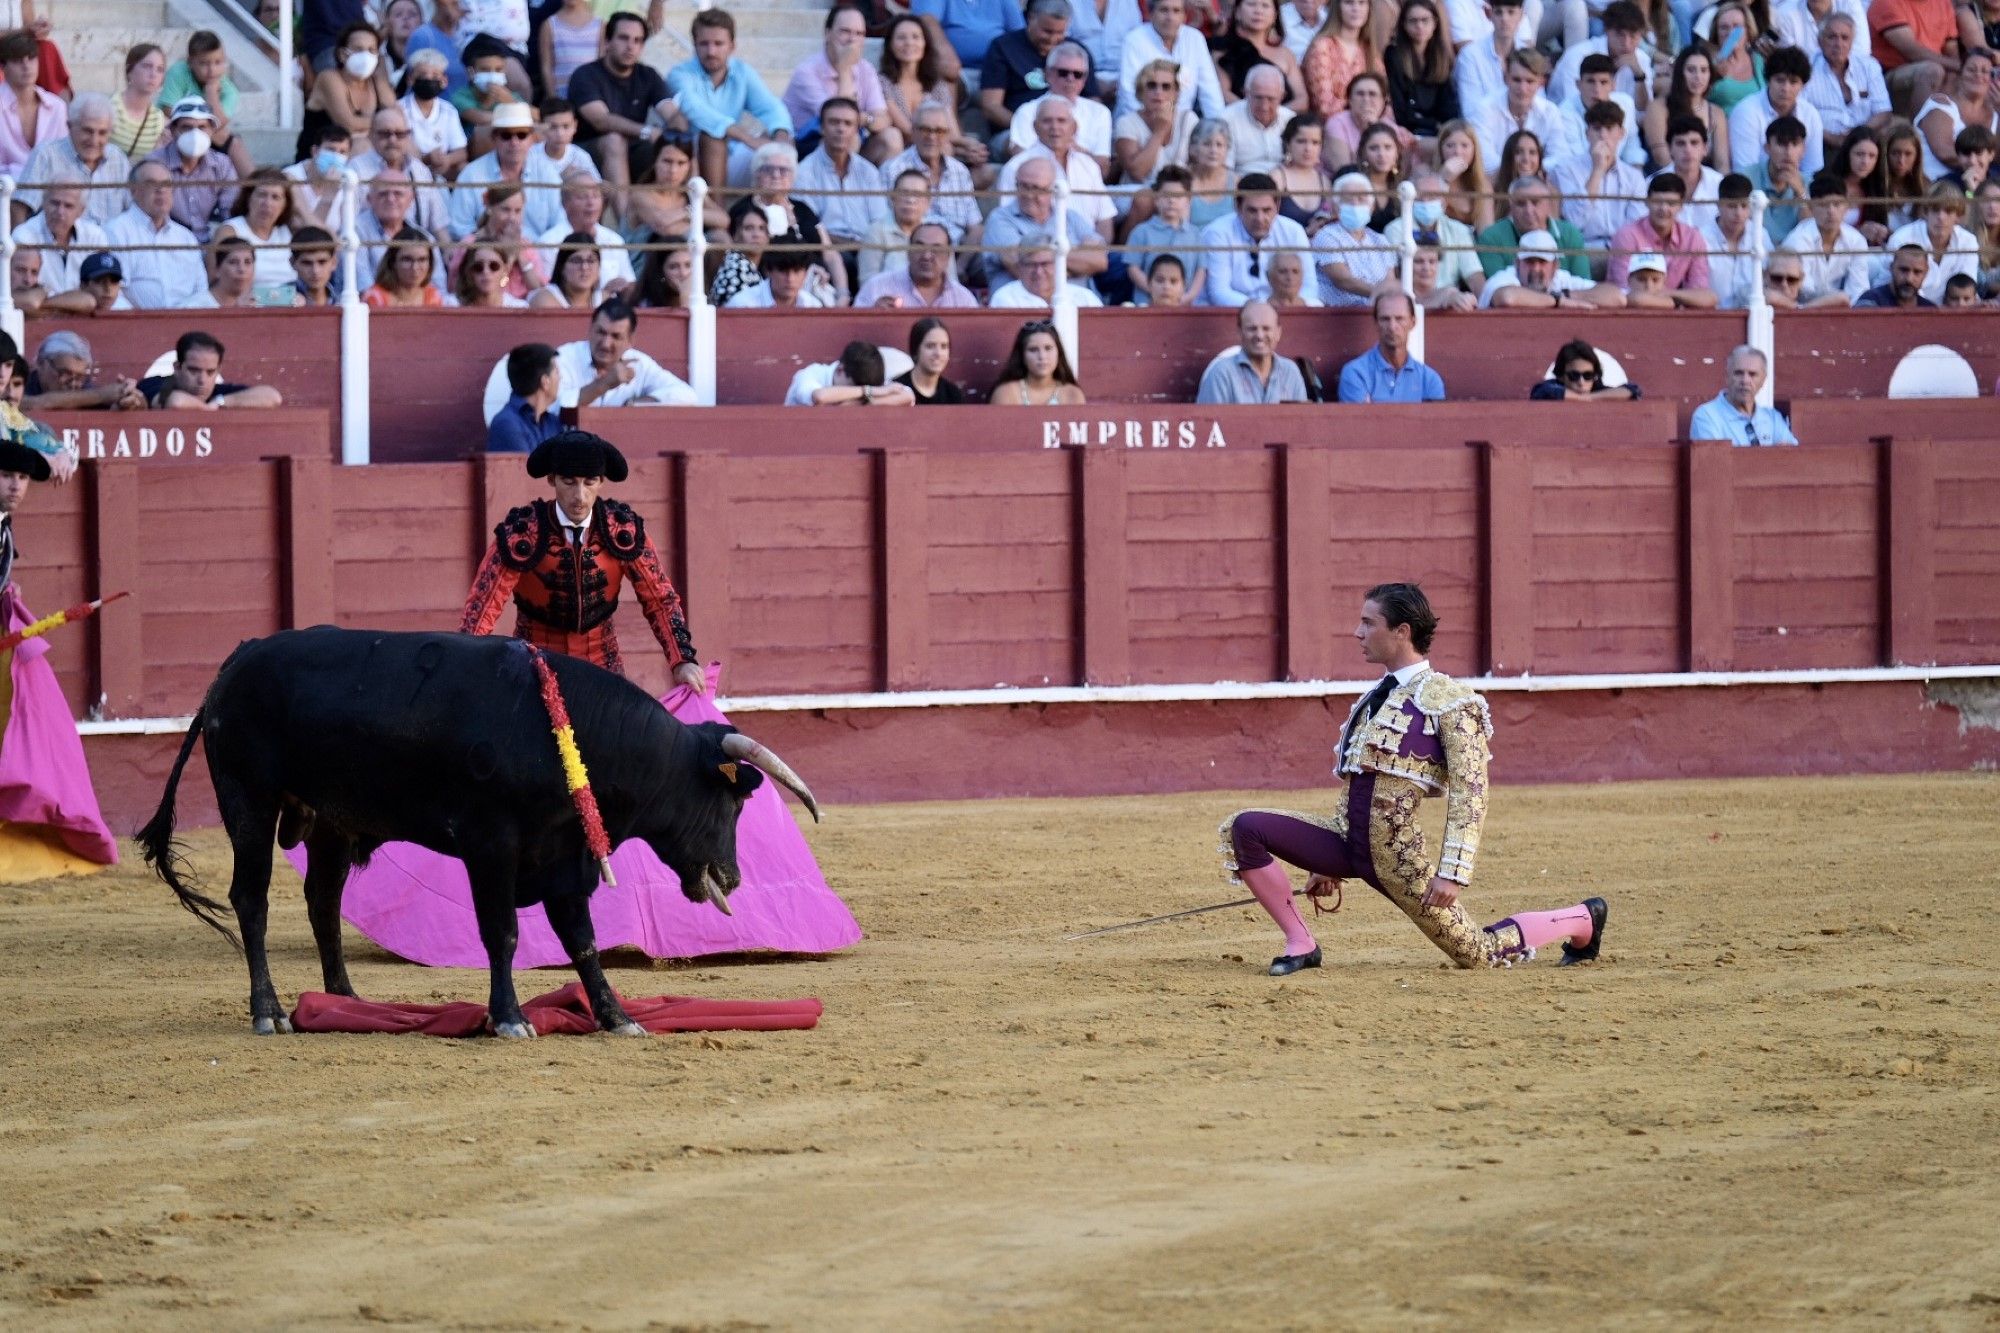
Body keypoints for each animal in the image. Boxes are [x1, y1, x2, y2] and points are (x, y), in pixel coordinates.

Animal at [139, 624, 820, 1040]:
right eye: (731, 803)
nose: (733, 875)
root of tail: (238, 660)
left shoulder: (563, 854)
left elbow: (583, 942)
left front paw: (616, 1016)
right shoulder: (492, 846)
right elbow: (503, 933)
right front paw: (510, 1018)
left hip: (331, 820)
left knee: (323, 902)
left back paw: (348, 1003)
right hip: (248, 804)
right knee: (251, 900)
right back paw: (271, 1012)